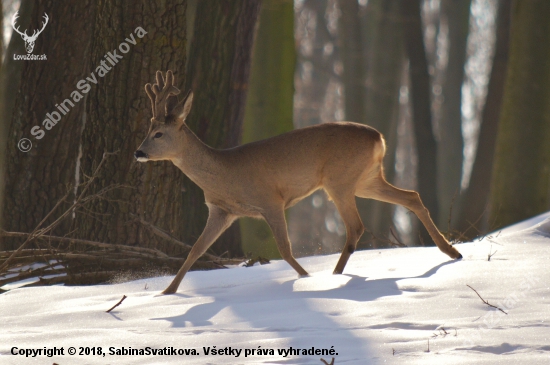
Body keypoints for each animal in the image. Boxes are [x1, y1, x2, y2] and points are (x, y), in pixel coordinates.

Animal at [136, 70, 464, 292]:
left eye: (159, 133)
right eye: (147, 129)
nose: (138, 152)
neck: (224, 174)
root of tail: (379, 137)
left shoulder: (271, 200)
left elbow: (284, 249)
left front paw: (305, 277)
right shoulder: (222, 210)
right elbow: (195, 249)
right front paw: (168, 292)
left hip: (339, 179)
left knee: (356, 226)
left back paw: (334, 275)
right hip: (366, 179)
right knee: (411, 196)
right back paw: (452, 251)